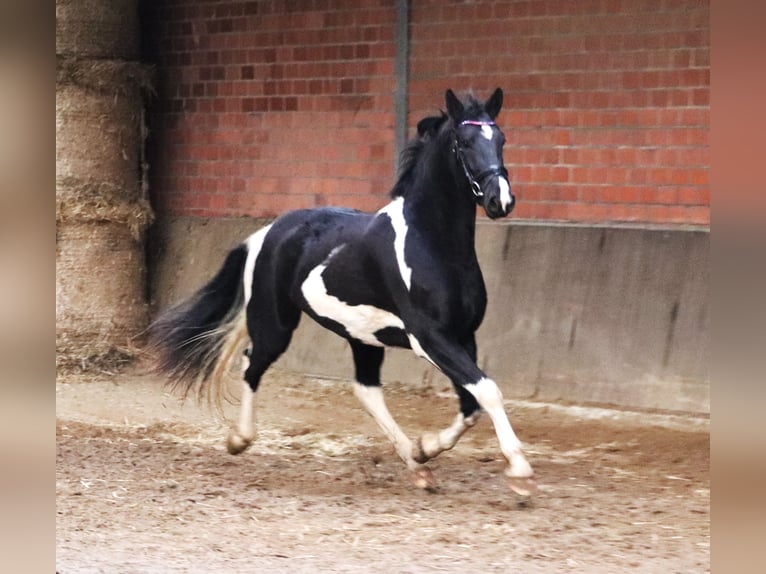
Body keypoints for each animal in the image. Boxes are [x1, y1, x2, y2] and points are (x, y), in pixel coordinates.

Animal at [147, 88, 536, 498]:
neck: (432, 244)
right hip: (275, 323)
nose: (500, 200)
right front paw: (521, 472)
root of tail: (266, 233)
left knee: (366, 391)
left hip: (363, 336)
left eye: (501, 139)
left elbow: (471, 402)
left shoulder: (463, 335)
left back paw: (417, 465)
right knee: (252, 363)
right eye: (464, 142)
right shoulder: (430, 338)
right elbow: (487, 391)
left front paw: (426, 447)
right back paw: (239, 439)